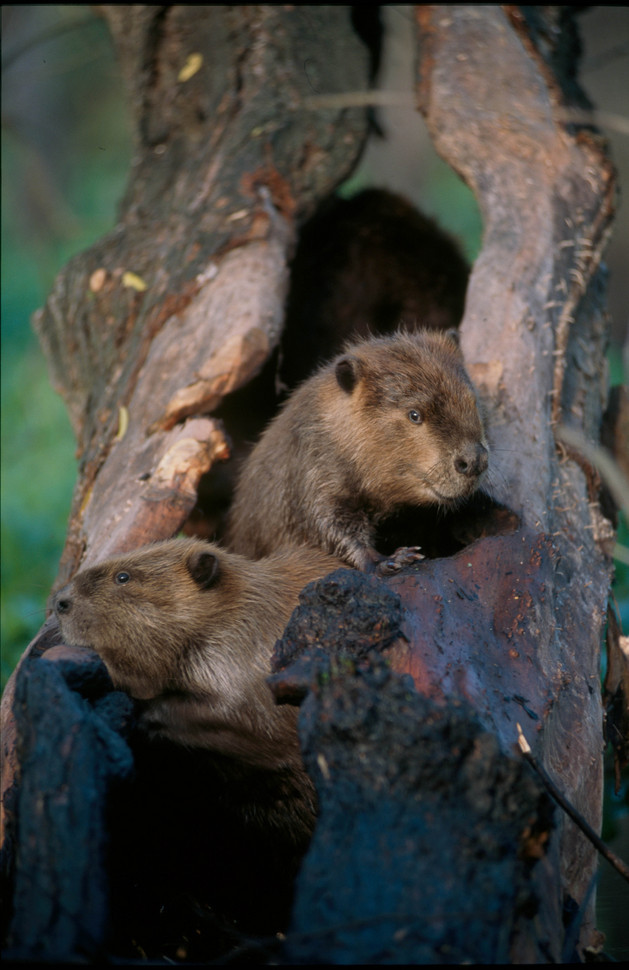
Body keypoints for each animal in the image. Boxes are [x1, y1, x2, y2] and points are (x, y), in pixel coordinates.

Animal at [226, 328, 490, 572]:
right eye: (414, 414)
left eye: (472, 400)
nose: (474, 460)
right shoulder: (313, 467)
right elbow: (328, 522)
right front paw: (392, 559)